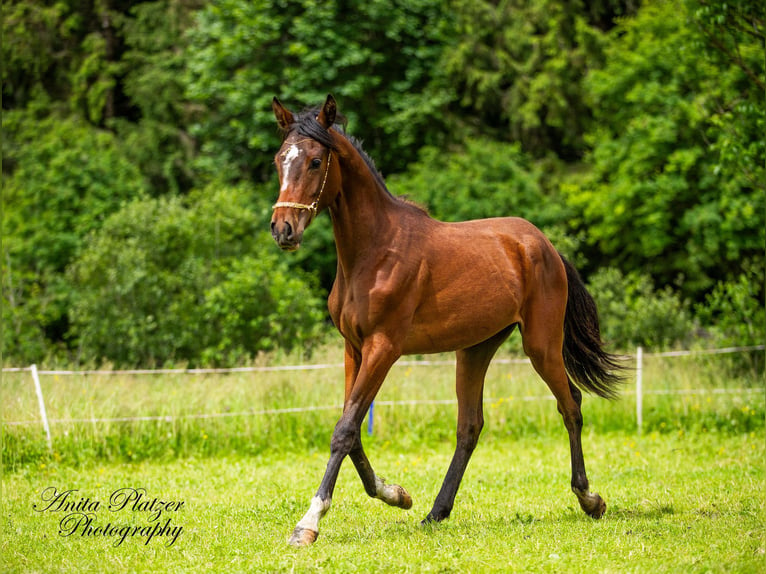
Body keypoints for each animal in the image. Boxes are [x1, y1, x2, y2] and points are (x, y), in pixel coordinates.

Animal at [270, 95, 624, 548]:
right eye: (280, 160)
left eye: (315, 161)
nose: (283, 229)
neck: (374, 251)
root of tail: (543, 245)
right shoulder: (354, 348)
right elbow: (352, 429)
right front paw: (397, 495)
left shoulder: (384, 348)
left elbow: (345, 430)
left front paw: (308, 523)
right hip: (475, 349)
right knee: (470, 426)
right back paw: (436, 512)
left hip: (541, 344)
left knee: (571, 405)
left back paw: (589, 499)